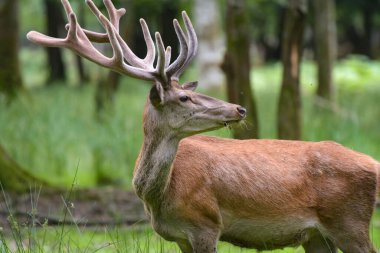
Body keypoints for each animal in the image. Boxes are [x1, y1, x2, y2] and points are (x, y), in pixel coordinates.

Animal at [28, 0, 380, 252]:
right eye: (185, 97)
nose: (239, 107)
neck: (159, 198)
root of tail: (373, 164)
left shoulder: (207, 224)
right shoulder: (180, 236)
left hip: (349, 221)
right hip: (317, 236)